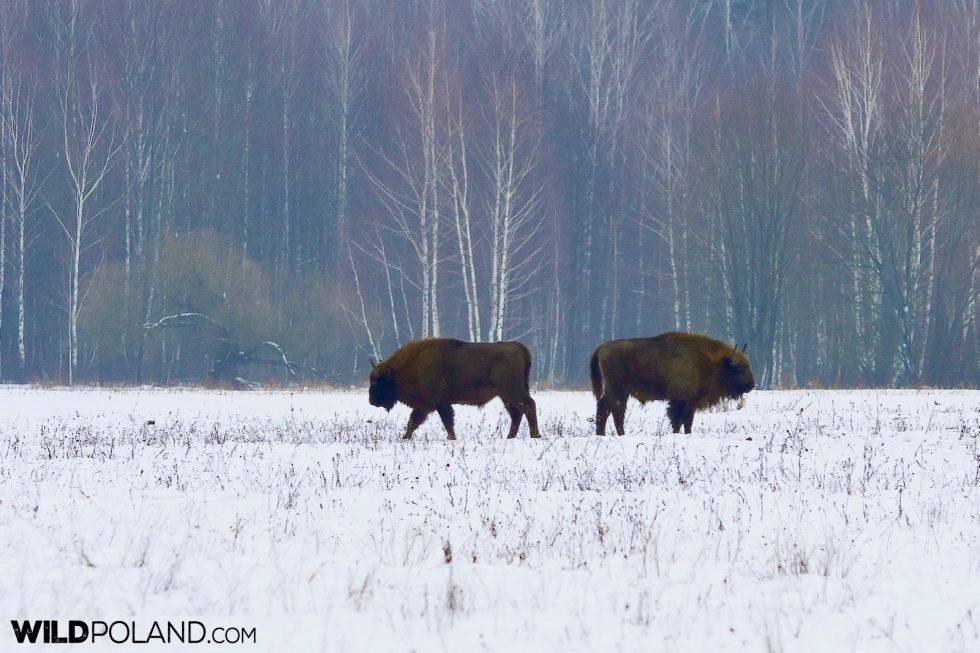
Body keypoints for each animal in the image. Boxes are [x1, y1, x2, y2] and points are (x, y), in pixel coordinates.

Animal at [368, 338, 540, 440]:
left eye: (377, 382)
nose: (371, 401)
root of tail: (517, 345)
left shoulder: (440, 403)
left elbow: (447, 421)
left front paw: (452, 438)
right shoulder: (425, 406)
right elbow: (413, 422)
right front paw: (405, 438)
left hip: (511, 390)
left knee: (528, 405)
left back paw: (535, 435)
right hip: (505, 396)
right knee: (517, 413)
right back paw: (510, 437)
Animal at [588, 334, 756, 436]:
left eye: (749, 366)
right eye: (739, 368)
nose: (752, 385)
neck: (711, 362)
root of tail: (602, 347)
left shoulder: (691, 403)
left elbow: (688, 422)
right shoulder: (679, 400)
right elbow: (678, 420)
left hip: (622, 393)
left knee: (615, 412)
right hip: (615, 389)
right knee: (606, 409)